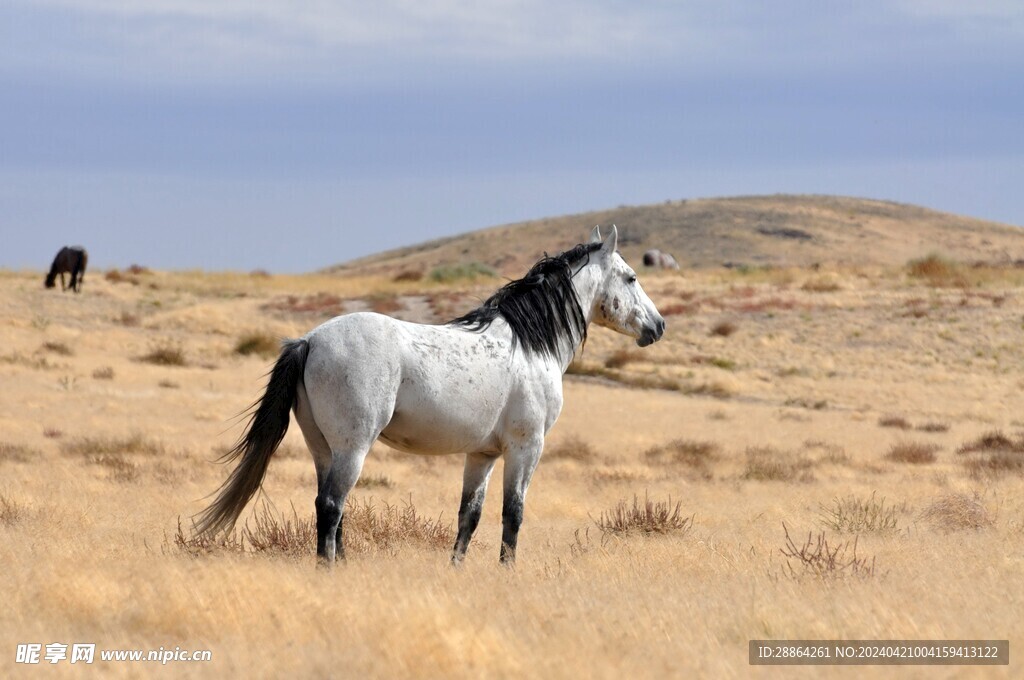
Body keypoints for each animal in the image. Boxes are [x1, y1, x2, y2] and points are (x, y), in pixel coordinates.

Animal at [197, 225, 663, 565]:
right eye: (632, 277)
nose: (658, 326)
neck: (530, 344)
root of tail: (309, 340)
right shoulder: (526, 448)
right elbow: (512, 514)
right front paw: (507, 572)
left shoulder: (482, 454)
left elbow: (469, 516)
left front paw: (456, 569)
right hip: (352, 448)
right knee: (331, 505)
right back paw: (329, 569)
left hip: (323, 449)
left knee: (331, 507)